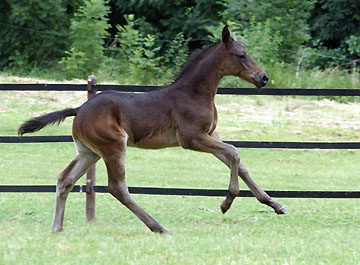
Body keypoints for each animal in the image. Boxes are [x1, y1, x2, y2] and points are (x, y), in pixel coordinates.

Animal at [19, 26, 286, 233]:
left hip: (89, 152)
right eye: (241, 55)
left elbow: (238, 162)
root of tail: (80, 109)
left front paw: (274, 204)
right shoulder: (191, 138)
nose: (263, 77)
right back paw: (158, 227)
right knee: (117, 187)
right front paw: (226, 202)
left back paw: (57, 227)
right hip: (113, 146)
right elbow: (234, 152)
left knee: (65, 179)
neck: (194, 93)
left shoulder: (210, 134)